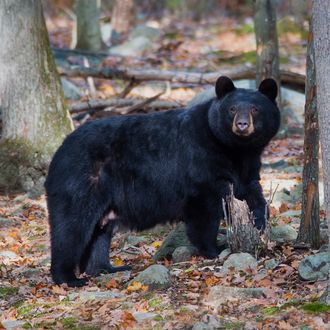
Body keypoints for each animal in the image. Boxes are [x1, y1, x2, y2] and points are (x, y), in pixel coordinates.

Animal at [45, 76, 280, 286]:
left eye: (255, 109)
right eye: (232, 109)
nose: (242, 124)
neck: (234, 149)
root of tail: (59, 151)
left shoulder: (248, 167)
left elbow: (253, 195)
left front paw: (260, 226)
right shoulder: (200, 161)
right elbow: (205, 210)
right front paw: (215, 248)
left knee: (99, 232)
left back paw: (106, 268)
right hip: (82, 181)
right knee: (72, 227)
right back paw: (68, 278)